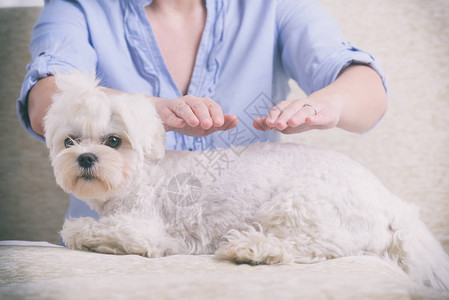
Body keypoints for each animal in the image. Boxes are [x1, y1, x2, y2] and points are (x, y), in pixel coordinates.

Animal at [43, 72, 446, 290]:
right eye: (70, 141)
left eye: (114, 141)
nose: (86, 157)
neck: (145, 175)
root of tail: (393, 205)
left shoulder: (143, 231)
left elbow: (82, 230)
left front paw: (85, 235)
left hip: (298, 203)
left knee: (317, 246)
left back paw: (253, 248)